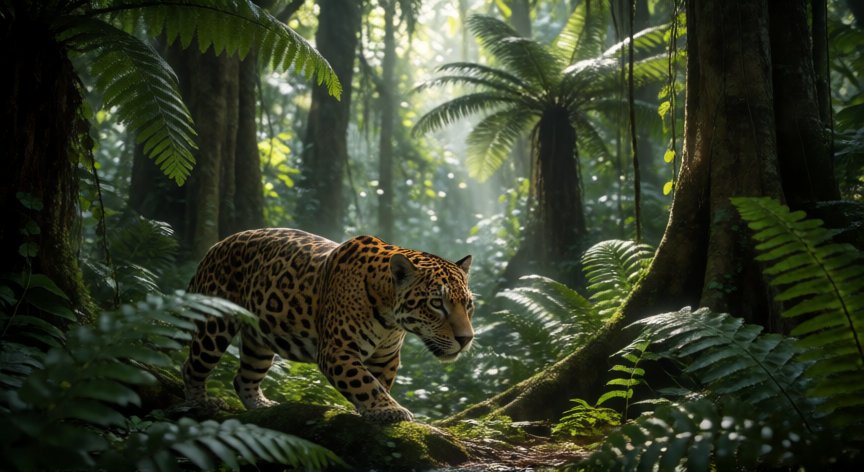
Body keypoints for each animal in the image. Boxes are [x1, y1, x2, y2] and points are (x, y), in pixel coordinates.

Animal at [182, 228, 475, 424]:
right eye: (436, 304)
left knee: (244, 377)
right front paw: (389, 410)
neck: (390, 318)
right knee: (192, 366)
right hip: (214, 326)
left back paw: (262, 406)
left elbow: (378, 382)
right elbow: (365, 382)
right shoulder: (337, 351)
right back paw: (201, 402)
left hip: (260, 340)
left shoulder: (386, 357)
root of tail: (215, 246)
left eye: (468, 305)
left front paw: (372, 410)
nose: (466, 339)